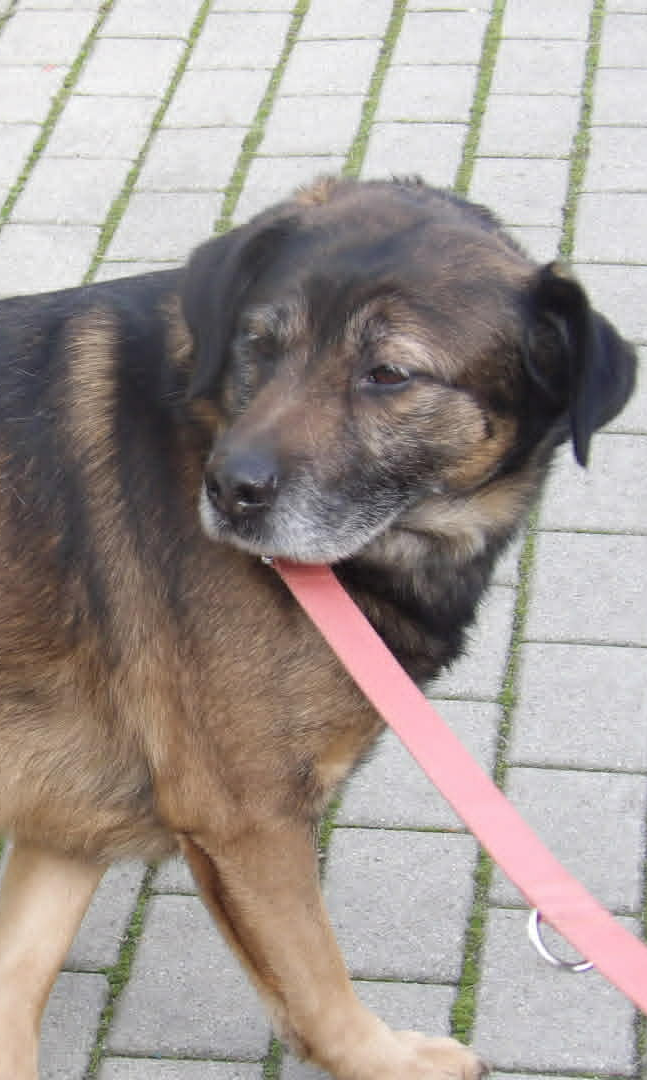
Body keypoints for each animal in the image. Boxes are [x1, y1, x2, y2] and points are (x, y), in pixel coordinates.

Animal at [0, 176, 636, 1079]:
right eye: (259, 346)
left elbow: (14, 992)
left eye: (389, 374)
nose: (227, 489)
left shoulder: (68, 831)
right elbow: (318, 988)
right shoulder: (251, 824)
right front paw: (388, 1061)